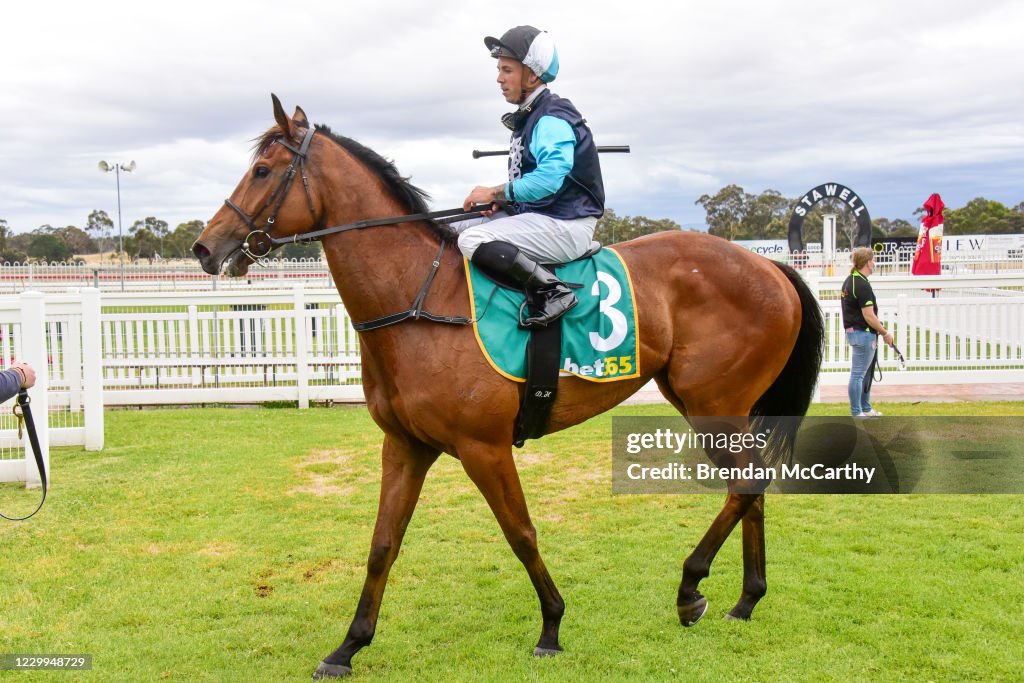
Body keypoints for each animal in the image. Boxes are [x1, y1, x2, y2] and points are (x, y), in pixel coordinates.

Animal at [193, 96, 823, 679]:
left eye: (263, 170)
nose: (205, 247)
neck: (420, 300)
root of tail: (771, 267)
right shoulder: (404, 446)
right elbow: (382, 545)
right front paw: (348, 646)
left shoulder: (484, 447)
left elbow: (520, 532)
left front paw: (551, 626)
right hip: (714, 404)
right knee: (751, 485)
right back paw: (745, 600)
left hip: (712, 404)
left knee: (746, 484)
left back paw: (691, 590)